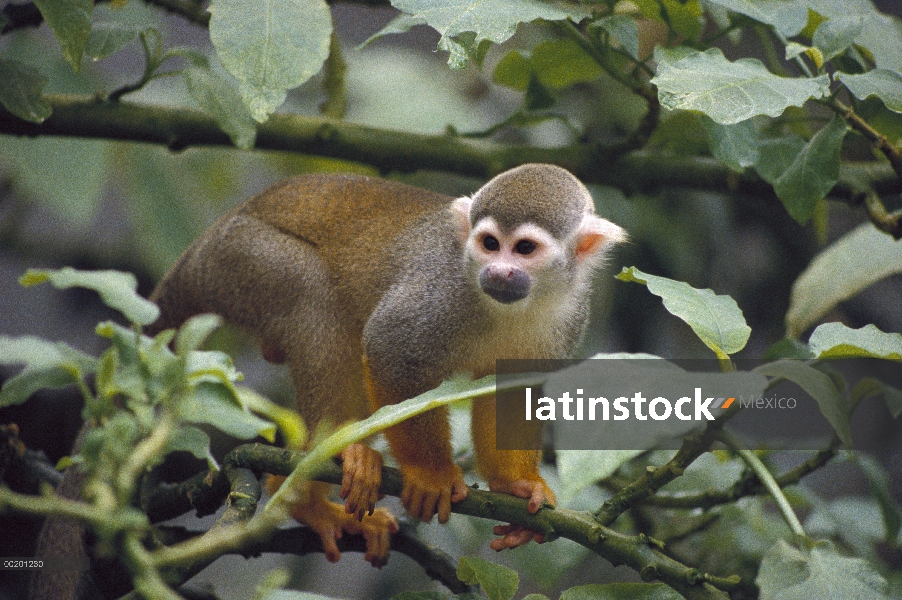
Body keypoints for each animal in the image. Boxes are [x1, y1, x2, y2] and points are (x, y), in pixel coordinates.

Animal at [150, 163, 628, 564]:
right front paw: (431, 474)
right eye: (490, 244)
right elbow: (390, 350)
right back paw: (321, 476)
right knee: (312, 294)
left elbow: (512, 391)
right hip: (242, 260)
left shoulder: (570, 316)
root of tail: (203, 245)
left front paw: (516, 484)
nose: (498, 272)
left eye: (525, 249)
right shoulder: (440, 290)